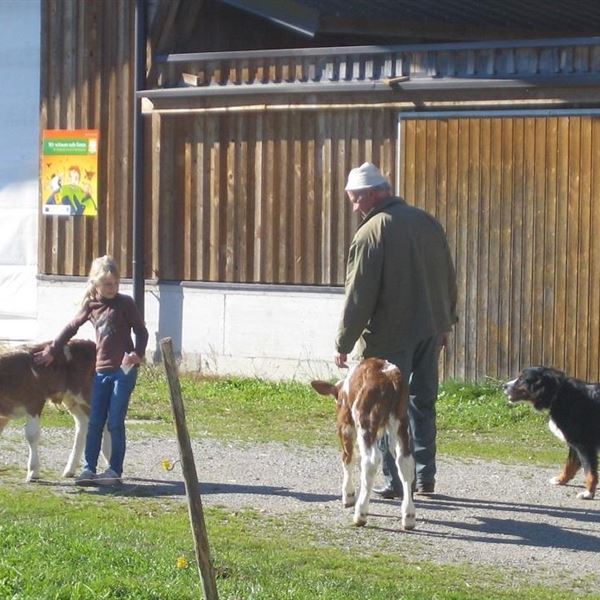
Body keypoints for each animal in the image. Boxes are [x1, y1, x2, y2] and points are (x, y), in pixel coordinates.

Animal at [0, 340, 109, 480]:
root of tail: (90, 343)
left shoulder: (35, 401)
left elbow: (31, 434)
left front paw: (33, 472)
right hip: (71, 398)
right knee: (83, 424)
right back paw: (70, 470)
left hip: (88, 393)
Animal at [312, 358, 414, 528]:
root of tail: (390, 377)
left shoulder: (345, 425)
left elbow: (348, 457)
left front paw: (348, 495)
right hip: (401, 420)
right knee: (405, 461)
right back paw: (409, 516)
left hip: (365, 419)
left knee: (371, 460)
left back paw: (360, 513)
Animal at [504, 368, 596, 500]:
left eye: (522, 379)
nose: (504, 386)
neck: (558, 394)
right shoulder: (574, 445)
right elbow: (570, 465)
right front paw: (560, 480)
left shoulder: (583, 445)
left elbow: (589, 472)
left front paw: (588, 493)